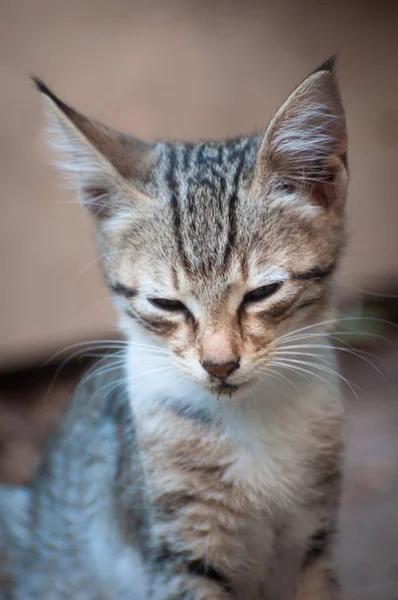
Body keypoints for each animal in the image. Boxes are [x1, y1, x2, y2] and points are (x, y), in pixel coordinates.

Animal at [0, 57, 348, 600]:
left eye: (262, 293)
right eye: (166, 303)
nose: (220, 365)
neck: (251, 419)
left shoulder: (314, 537)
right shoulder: (179, 554)